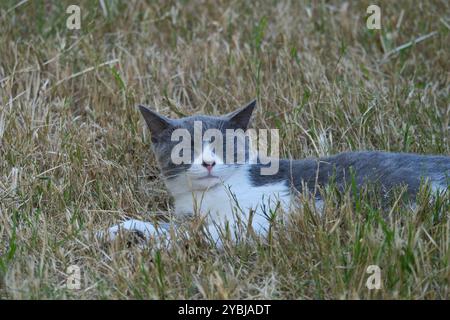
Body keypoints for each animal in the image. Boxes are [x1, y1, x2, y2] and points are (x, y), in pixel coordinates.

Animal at [101, 101, 450, 246]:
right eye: (185, 148)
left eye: (223, 146)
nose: (209, 163)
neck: (204, 198)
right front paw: (123, 229)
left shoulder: (257, 219)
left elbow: (204, 232)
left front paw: (151, 244)